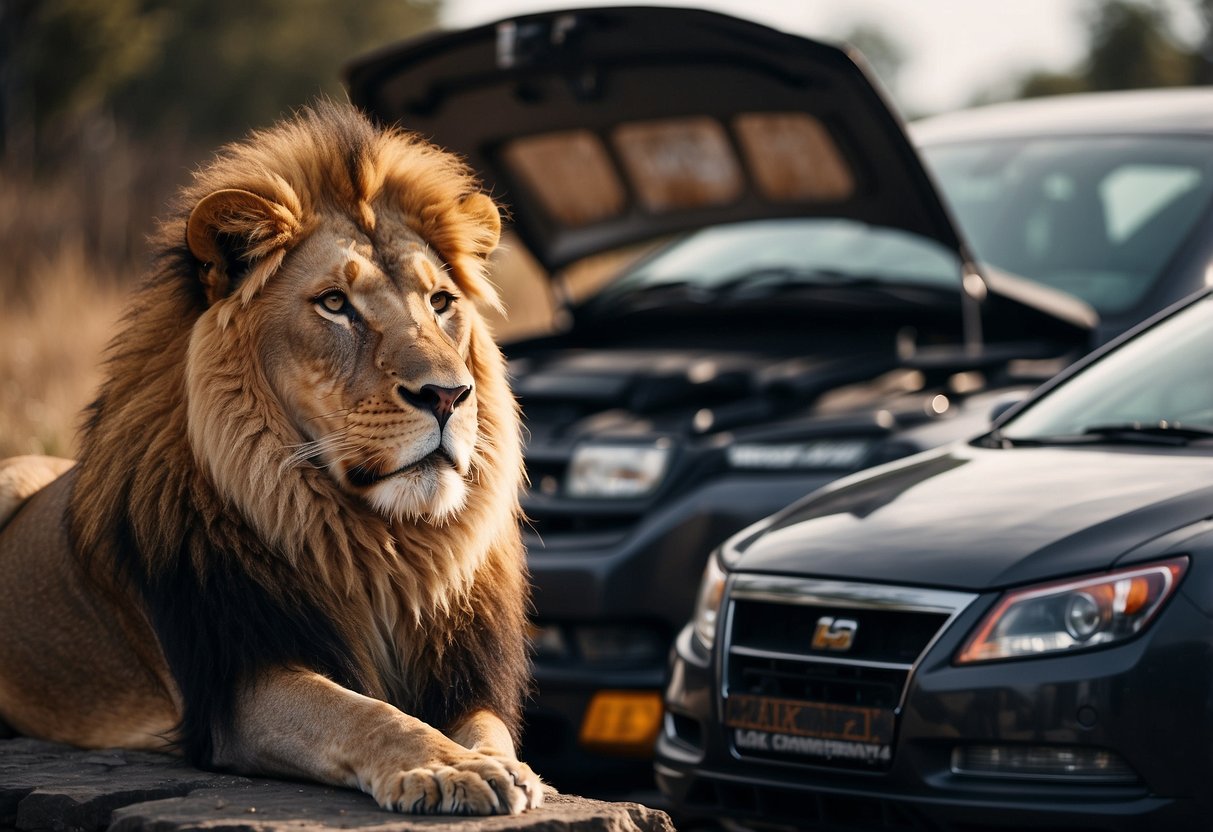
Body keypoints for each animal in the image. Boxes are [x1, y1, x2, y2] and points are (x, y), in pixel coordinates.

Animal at [0, 101, 545, 819]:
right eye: (335, 304)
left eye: (441, 303)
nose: (448, 395)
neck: (383, 550)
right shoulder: (237, 688)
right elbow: (364, 713)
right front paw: (447, 767)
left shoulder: (465, 680)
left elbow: (490, 734)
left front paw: (499, 766)